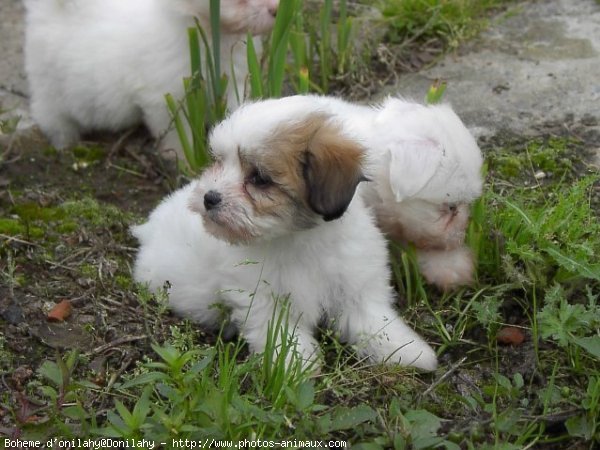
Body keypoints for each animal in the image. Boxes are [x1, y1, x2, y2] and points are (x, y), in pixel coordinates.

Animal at [22, 0, 276, 155]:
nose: (275, 9)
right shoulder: (165, 98)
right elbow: (176, 134)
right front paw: (183, 159)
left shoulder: (234, 79)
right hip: (51, 87)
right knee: (52, 117)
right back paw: (65, 145)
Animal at [134, 100, 438, 370]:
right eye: (219, 162)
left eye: (259, 178)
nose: (210, 197)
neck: (298, 240)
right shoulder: (261, 297)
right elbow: (279, 331)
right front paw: (295, 365)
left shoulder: (355, 283)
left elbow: (373, 319)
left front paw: (405, 350)